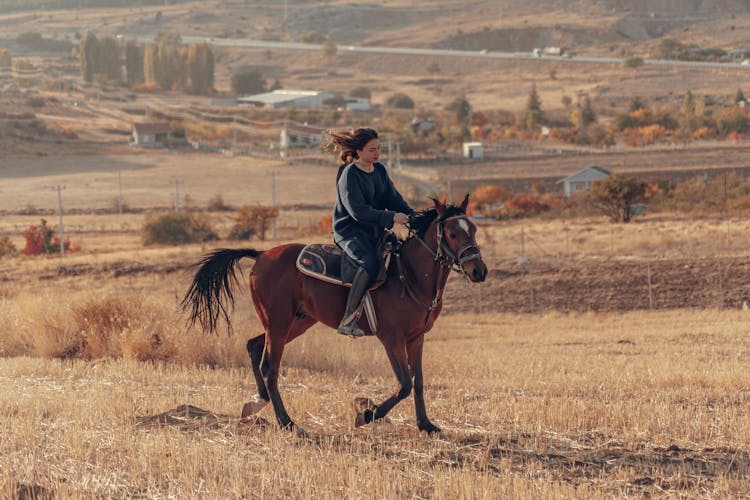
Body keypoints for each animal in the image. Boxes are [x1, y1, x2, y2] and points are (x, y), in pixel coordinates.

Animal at [182, 195, 488, 434]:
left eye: (472, 229)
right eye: (452, 233)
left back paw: (257, 401)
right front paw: (367, 415)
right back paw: (288, 423)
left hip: (294, 324)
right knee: (270, 367)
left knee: (253, 346)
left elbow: (418, 381)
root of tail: (261, 255)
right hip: (279, 324)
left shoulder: (416, 338)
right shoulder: (391, 338)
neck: (409, 275)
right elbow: (403, 384)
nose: (479, 271)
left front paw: (425, 424)